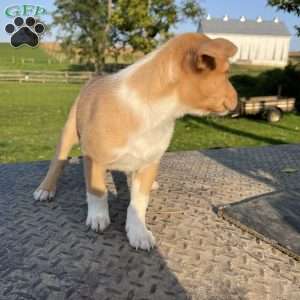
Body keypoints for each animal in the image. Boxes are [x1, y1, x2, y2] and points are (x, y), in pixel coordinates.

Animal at [34, 32, 238, 250]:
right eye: (226, 74)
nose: (237, 103)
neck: (156, 112)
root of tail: (96, 77)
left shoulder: (149, 162)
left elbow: (138, 203)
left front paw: (139, 231)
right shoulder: (94, 158)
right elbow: (97, 192)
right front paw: (98, 217)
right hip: (68, 133)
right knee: (57, 163)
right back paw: (45, 189)